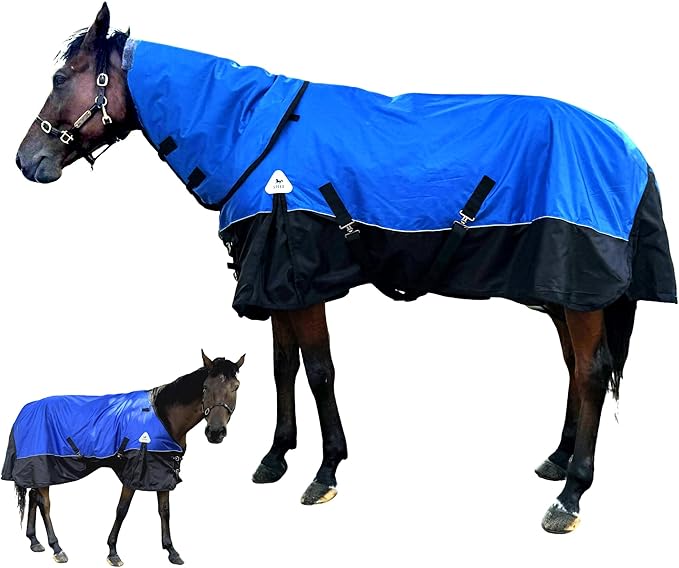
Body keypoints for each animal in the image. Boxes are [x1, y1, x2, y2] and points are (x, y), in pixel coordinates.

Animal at [2, 350, 245, 565]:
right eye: (205, 387)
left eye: (236, 387)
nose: (215, 432)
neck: (163, 416)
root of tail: (23, 412)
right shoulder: (134, 472)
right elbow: (122, 510)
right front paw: (113, 552)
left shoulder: (162, 470)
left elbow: (164, 511)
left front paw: (172, 551)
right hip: (43, 464)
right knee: (45, 503)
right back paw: (57, 548)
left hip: (38, 470)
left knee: (34, 497)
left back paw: (35, 541)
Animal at [15, 3, 676, 534]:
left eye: (61, 77)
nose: (27, 160)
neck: (256, 137)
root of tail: (631, 149)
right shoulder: (279, 288)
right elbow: (283, 369)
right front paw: (276, 458)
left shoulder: (303, 284)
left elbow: (320, 372)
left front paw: (325, 471)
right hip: (565, 297)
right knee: (574, 370)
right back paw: (557, 461)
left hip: (580, 295)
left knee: (590, 373)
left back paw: (571, 494)